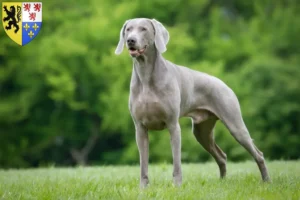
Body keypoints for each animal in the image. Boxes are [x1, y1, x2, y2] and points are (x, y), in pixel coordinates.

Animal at [114, 17, 270, 188]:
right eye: (128, 29)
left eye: (143, 29)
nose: (130, 40)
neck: (146, 74)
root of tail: (224, 83)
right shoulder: (140, 128)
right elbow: (143, 163)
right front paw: (143, 188)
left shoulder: (173, 125)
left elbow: (176, 162)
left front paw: (176, 186)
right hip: (201, 131)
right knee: (221, 156)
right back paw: (222, 182)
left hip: (235, 124)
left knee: (258, 154)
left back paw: (266, 180)